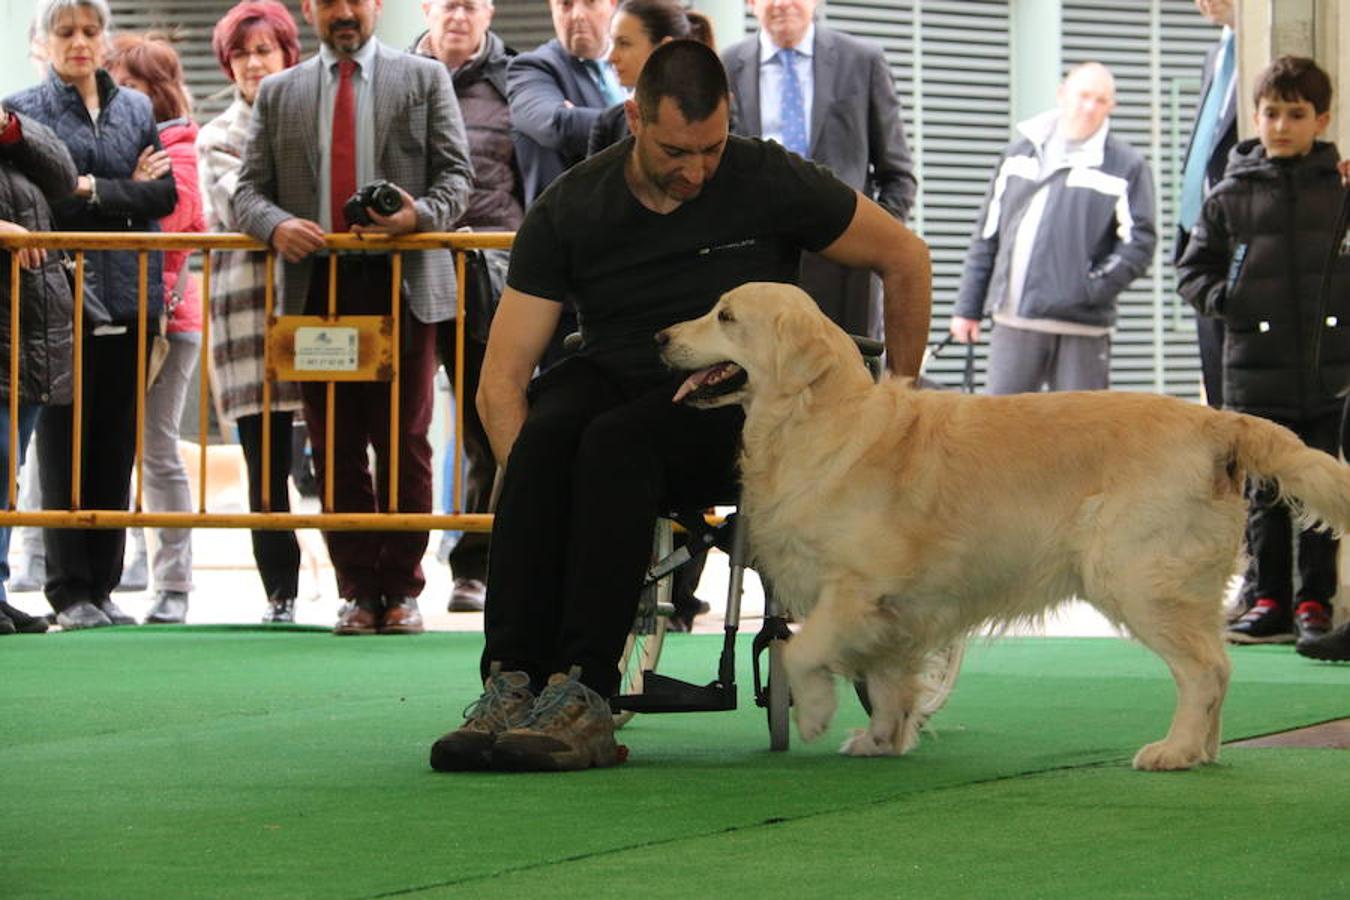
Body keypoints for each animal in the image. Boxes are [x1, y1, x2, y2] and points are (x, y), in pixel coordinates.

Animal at [658, 279, 1350, 766]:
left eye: (725, 316)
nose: (660, 336)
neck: (816, 419)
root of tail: (1216, 420)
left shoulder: (859, 586)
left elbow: (803, 650)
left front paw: (813, 714)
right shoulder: (895, 609)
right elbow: (885, 676)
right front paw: (882, 738)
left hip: (1137, 577)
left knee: (1205, 670)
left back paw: (1174, 752)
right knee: (1219, 668)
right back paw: (1202, 750)